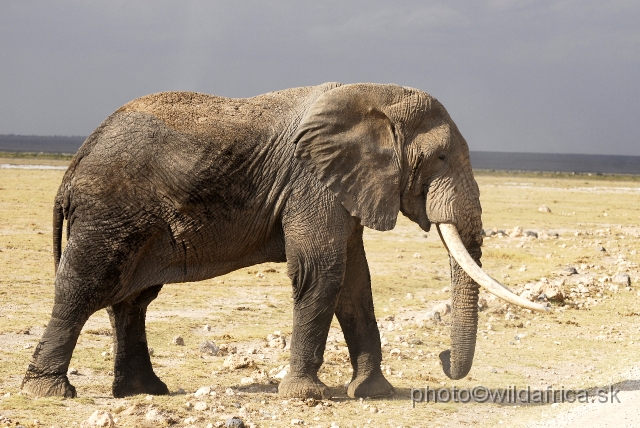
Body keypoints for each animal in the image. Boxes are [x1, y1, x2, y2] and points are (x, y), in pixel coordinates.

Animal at [20, 82, 544, 400]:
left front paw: (373, 392)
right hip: (109, 210)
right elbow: (323, 271)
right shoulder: (312, 182)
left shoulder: (340, 186)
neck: (374, 97)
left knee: (131, 299)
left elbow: (355, 282)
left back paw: (146, 391)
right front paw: (308, 397)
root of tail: (74, 161)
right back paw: (50, 393)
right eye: (439, 158)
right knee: (87, 287)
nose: (442, 359)